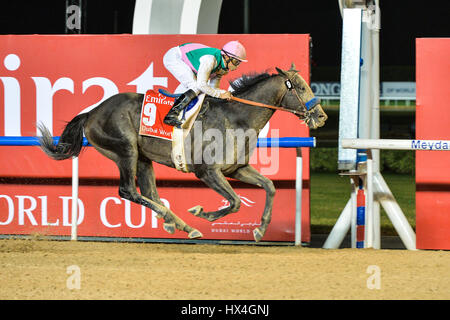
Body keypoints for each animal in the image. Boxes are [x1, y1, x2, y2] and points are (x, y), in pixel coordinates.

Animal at [37, 63, 326, 241]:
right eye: (301, 87)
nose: (321, 116)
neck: (236, 118)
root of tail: (92, 112)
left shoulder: (237, 169)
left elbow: (270, 186)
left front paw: (260, 229)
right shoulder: (207, 171)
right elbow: (234, 202)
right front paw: (202, 213)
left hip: (143, 158)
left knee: (150, 192)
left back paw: (178, 225)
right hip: (125, 150)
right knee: (128, 191)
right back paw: (179, 222)